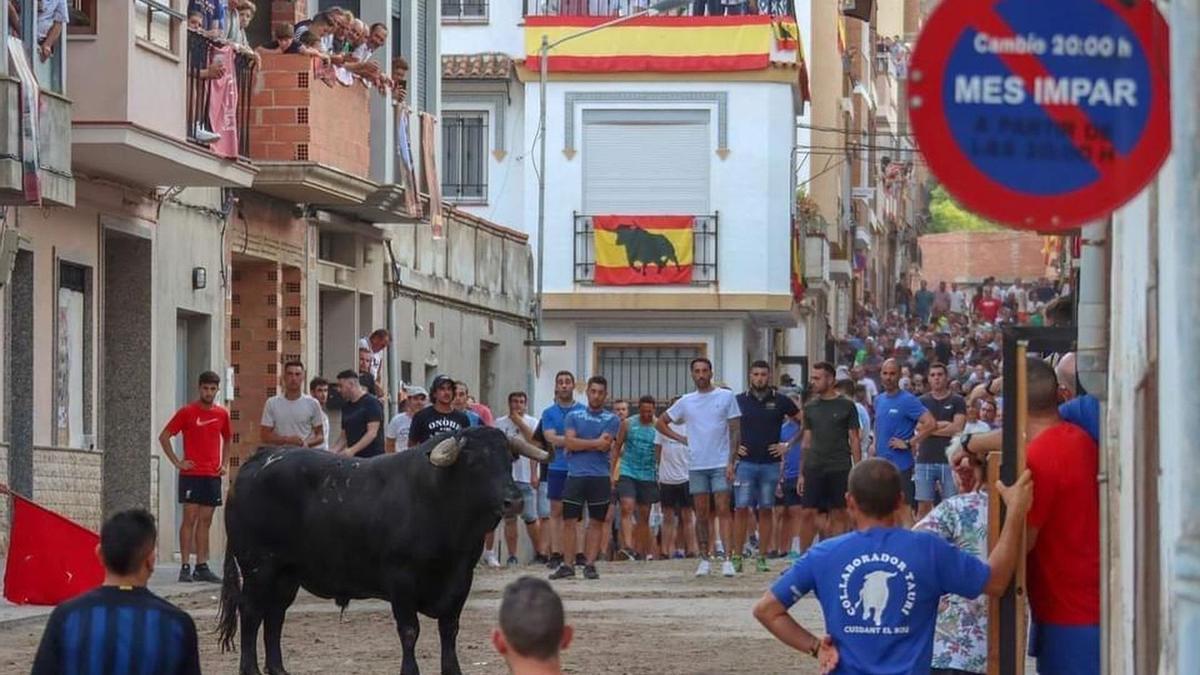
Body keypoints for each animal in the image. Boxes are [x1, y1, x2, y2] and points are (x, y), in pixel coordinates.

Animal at [218, 427, 549, 667]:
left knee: (274, 618)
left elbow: (449, 631)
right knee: (251, 614)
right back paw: (250, 669)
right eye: (474, 462)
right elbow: (409, 631)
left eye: (509, 460)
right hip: (259, 568)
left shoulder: (460, 582)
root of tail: (259, 460)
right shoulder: (401, 581)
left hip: (286, 575)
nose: (514, 501)